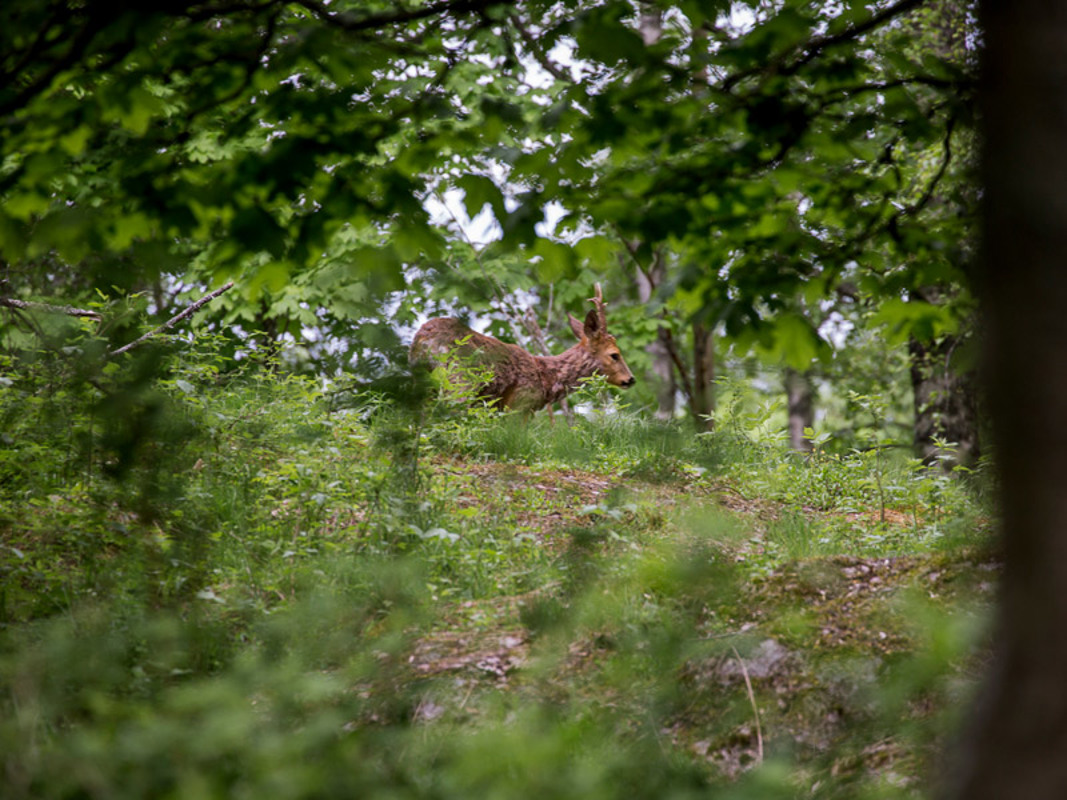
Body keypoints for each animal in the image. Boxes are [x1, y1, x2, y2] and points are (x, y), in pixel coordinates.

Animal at [409, 285, 635, 413]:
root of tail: (423, 340)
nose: (630, 379)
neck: (546, 378)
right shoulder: (521, 402)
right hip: (460, 379)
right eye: (614, 355)